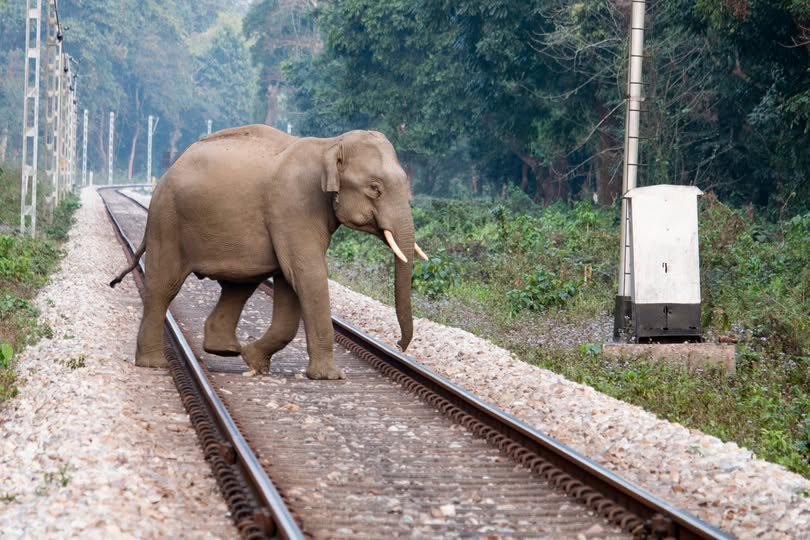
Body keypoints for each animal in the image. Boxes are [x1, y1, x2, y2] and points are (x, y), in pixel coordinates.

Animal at [110, 124, 427, 380]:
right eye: (374, 188)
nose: (399, 345)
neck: (330, 144)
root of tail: (168, 171)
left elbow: (291, 281)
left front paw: (254, 361)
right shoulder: (294, 205)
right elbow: (306, 273)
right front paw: (331, 377)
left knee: (238, 287)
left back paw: (225, 350)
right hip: (167, 220)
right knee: (164, 287)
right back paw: (155, 364)